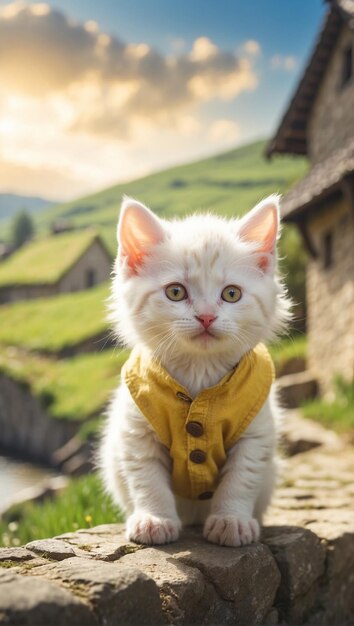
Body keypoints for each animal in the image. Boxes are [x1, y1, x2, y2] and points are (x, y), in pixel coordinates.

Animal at [100, 193, 290, 544]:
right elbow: (146, 478)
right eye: (176, 292)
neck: (199, 371)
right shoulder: (136, 431)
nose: (206, 316)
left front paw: (231, 521)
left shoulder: (255, 432)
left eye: (232, 294)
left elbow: (241, 478)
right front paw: (154, 520)